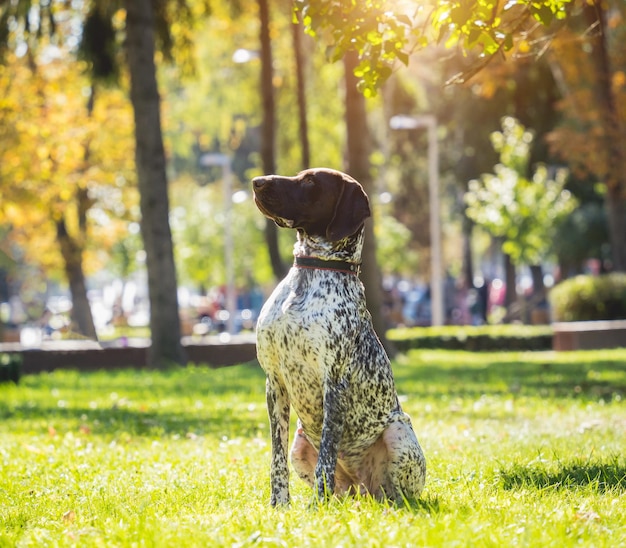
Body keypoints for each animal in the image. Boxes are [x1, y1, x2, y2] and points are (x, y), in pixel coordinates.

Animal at [250, 167, 424, 506]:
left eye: (309, 181)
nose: (257, 181)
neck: (309, 277)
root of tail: (363, 488)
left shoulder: (333, 383)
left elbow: (326, 459)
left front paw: (317, 506)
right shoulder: (274, 382)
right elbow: (276, 459)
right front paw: (279, 506)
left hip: (398, 432)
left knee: (399, 497)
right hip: (301, 444)